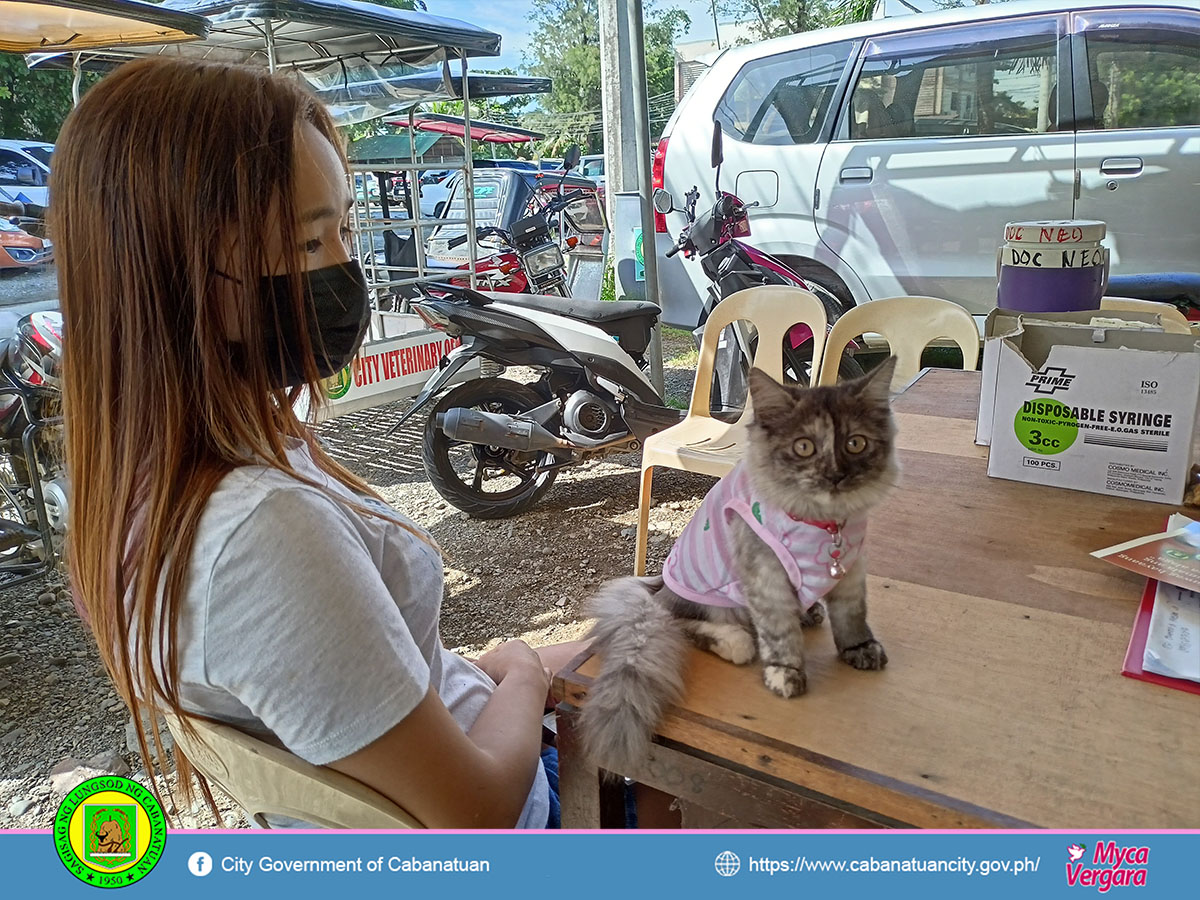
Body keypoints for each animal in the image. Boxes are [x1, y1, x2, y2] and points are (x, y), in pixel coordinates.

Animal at [576, 360, 897, 777]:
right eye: (804, 447)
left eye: (855, 443)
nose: (835, 475)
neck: (824, 524)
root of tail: (657, 586)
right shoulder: (766, 575)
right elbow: (780, 634)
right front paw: (785, 674)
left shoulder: (851, 570)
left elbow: (852, 618)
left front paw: (859, 649)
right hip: (710, 602)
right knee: (683, 623)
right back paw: (734, 641)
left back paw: (808, 612)